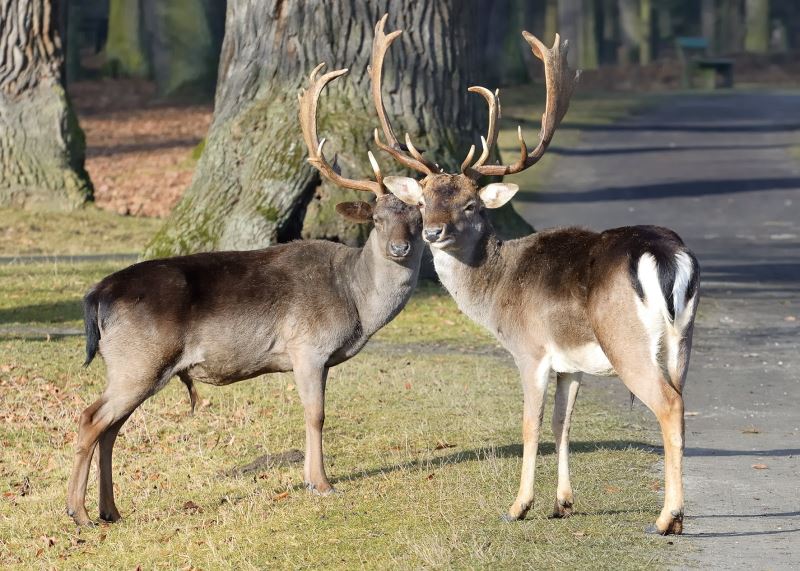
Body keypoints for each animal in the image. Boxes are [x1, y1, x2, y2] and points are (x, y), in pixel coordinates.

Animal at [67, 54, 424, 528]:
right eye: (378, 220)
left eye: (419, 218)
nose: (401, 248)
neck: (356, 304)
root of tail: (97, 296)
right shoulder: (307, 347)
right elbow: (316, 415)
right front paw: (322, 483)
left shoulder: (320, 358)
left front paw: (313, 480)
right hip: (137, 361)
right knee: (91, 418)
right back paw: (78, 513)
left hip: (133, 367)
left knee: (110, 428)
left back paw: (110, 510)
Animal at [372, 17, 696, 536]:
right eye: (422, 199)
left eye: (471, 204)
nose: (432, 231)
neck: (497, 292)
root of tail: (665, 255)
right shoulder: (571, 364)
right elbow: (563, 423)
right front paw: (562, 502)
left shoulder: (530, 349)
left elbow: (530, 424)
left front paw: (518, 505)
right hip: (683, 340)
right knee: (683, 405)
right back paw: (676, 517)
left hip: (626, 341)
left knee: (668, 405)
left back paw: (666, 519)